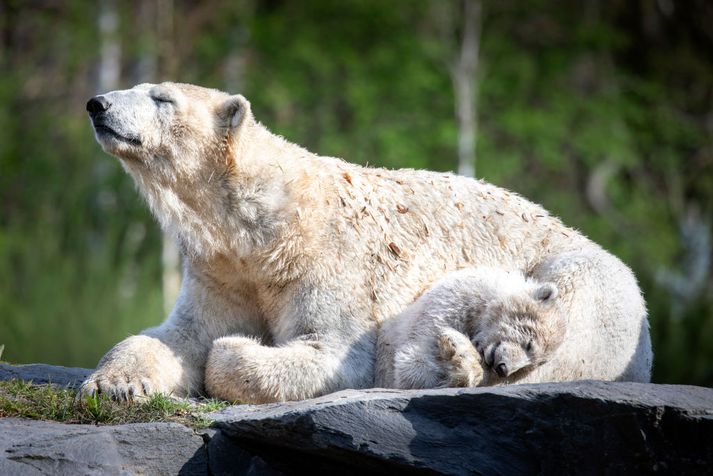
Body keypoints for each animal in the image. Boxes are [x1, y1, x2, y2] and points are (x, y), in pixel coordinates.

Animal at [378, 266, 560, 388]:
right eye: (529, 344)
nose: (503, 369)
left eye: (527, 367)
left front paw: (461, 356)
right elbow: (415, 360)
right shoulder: (454, 302)